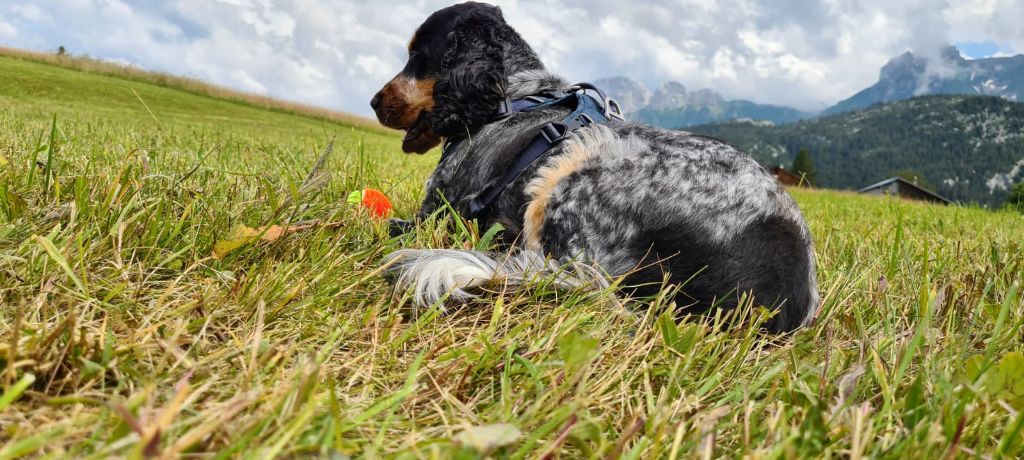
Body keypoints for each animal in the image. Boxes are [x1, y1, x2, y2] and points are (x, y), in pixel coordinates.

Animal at [368, 3, 815, 333]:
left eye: (417, 55)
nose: (373, 102)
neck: (518, 95)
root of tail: (784, 301)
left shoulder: (436, 211)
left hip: (577, 170)